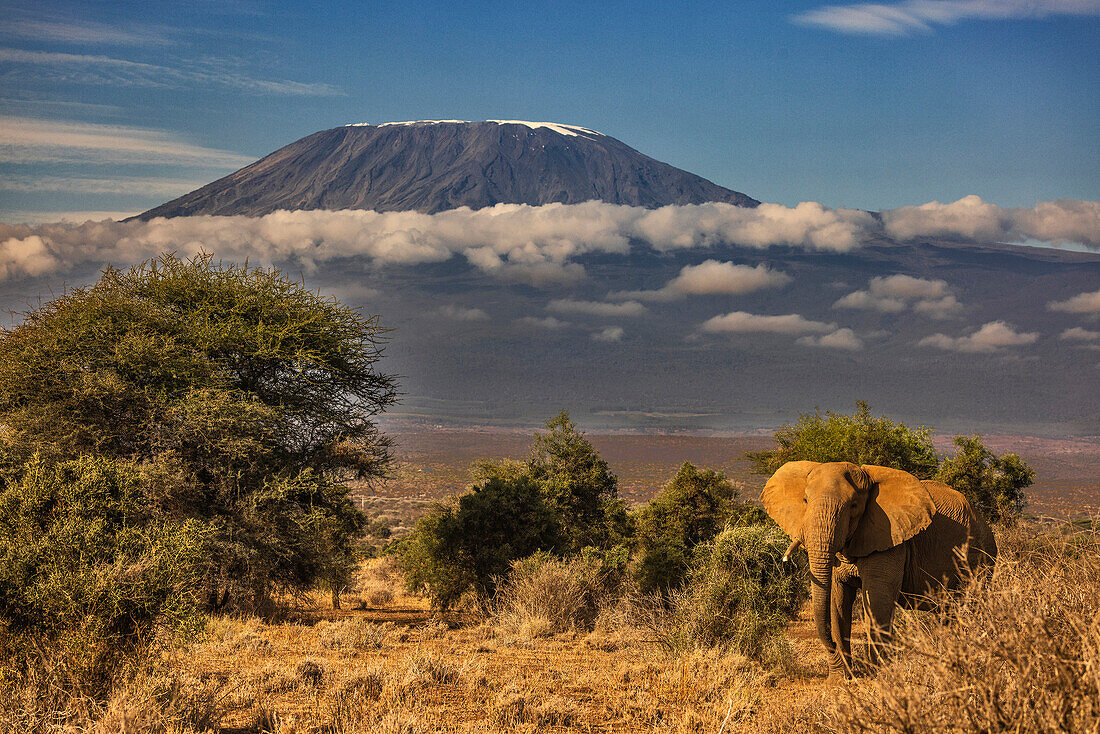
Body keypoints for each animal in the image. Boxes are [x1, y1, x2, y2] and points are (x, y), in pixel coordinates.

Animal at [765, 459, 998, 677]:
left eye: (854, 505)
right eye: (805, 500)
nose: (832, 648)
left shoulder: (891, 538)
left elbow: (878, 599)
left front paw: (879, 678)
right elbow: (838, 598)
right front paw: (840, 680)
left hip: (981, 559)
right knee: (949, 613)